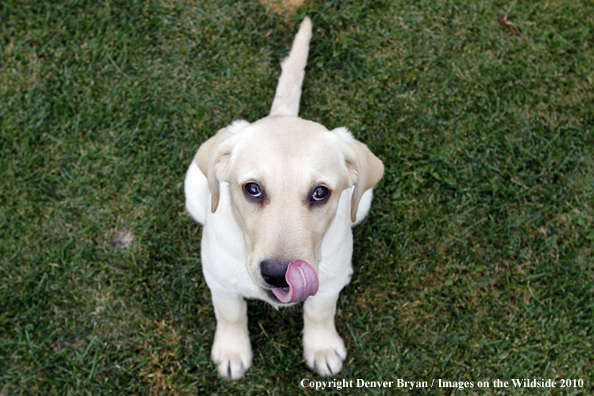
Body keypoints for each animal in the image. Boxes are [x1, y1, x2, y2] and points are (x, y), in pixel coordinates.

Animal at [183, 17, 382, 380]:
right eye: (252, 189)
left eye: (320, 193)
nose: (278, 274)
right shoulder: (219, 281)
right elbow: (230, 314)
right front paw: (232, 351)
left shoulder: (323, 290)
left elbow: (320, 311)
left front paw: (322, 347)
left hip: (362, 204)